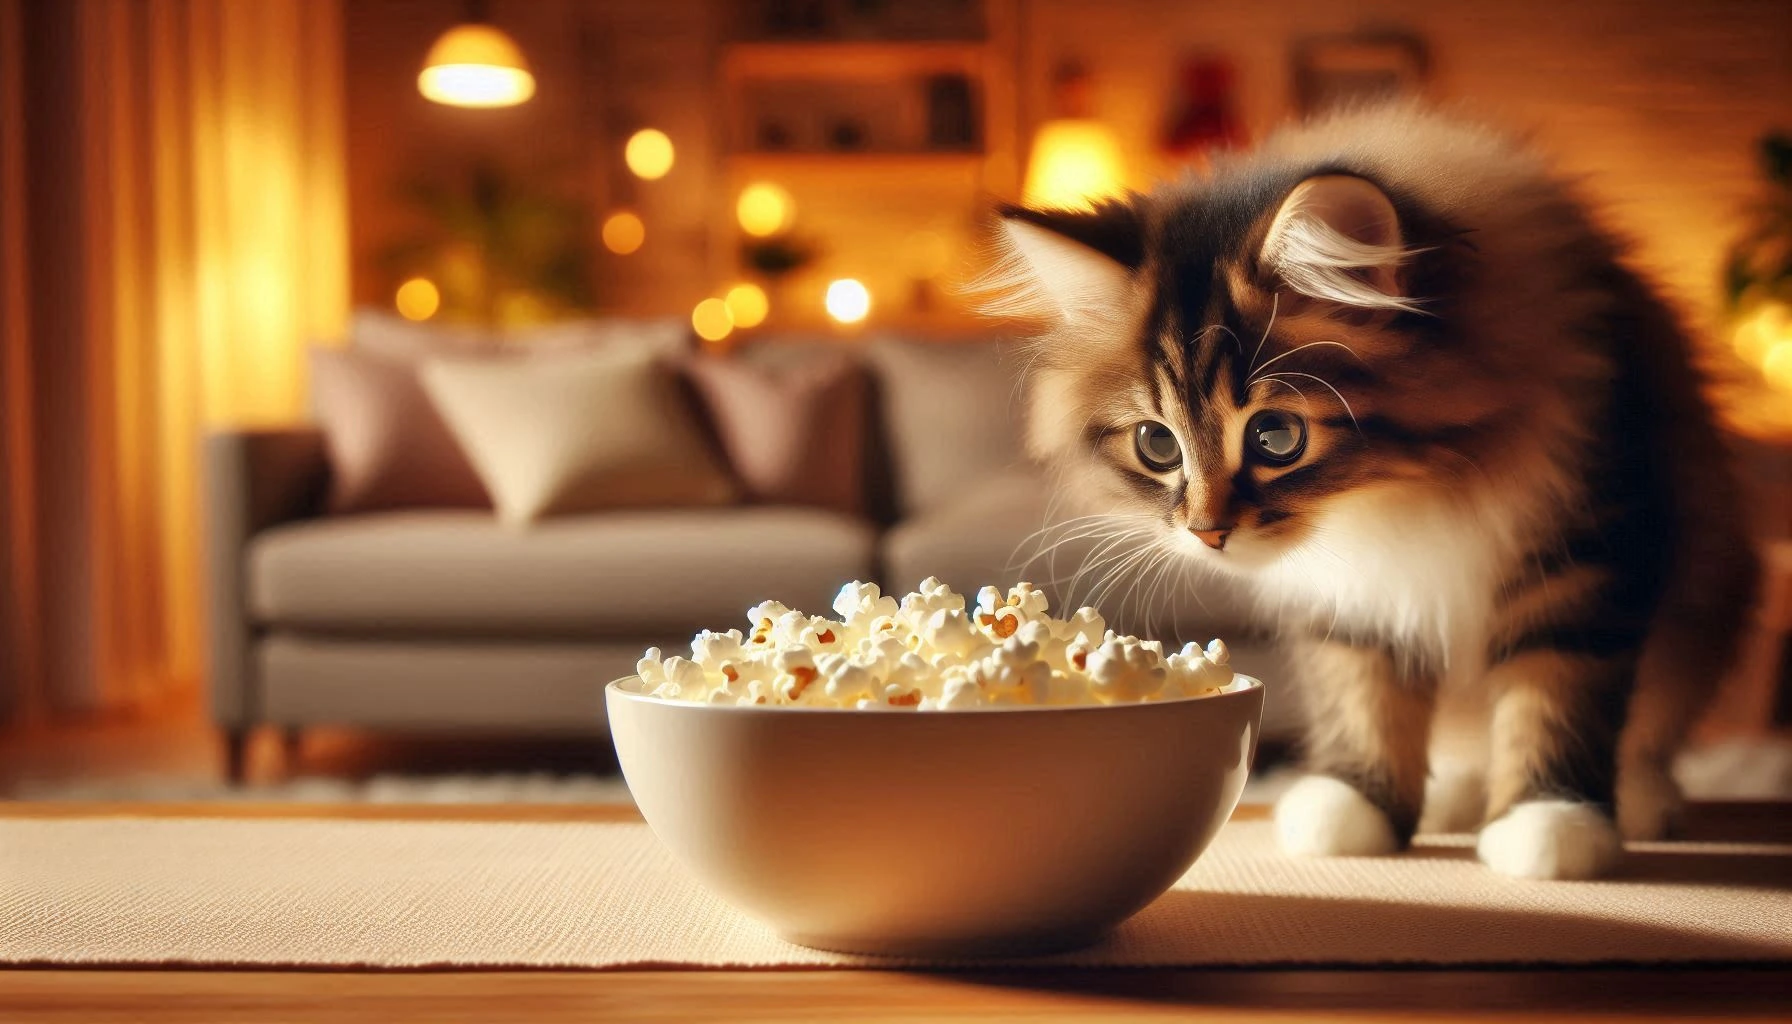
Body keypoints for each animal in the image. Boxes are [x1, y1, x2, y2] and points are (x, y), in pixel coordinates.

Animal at [996, 104, 1763, 882]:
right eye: (1158, 445)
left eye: (1277, 437)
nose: (1207, 532)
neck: (1397, 501)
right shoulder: (1354, 600)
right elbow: (1363, 694)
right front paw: (1354, 806)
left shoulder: (1587, 540)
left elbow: (1554, 692)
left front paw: (1549, 825)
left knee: (1647, 731)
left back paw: (1638, 801)